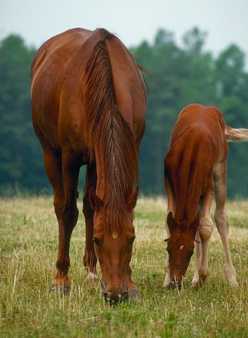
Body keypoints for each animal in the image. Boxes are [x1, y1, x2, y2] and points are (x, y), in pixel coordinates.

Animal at [31, 28, 146, 304]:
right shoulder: (70, 156)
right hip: (50, 152)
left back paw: (92, 271)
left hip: (95, 161)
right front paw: (61, 279)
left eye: (131, 238)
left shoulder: (131, 148)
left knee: (91, 205)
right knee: (62, 205)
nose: (115, 294)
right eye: (97, 239)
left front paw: (131, 283)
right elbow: (68, 212)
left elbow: (95, 208)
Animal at [164, 103, 248, 288]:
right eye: (168, 248)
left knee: (220, 217)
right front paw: (166, 279)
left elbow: (205, 227)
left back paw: (231, 279)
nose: (175, 282)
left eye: (189, 251)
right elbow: (169, 223)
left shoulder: (208, 185)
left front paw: (202, 276)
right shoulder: (168, 183)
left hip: (221, 167)